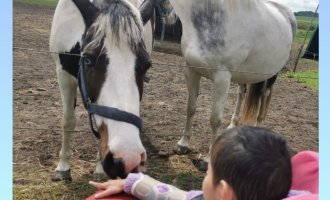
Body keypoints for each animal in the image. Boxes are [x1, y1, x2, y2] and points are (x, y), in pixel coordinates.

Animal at [49, 0, 157, 181]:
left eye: (147, 65)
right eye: (87, 60)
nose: (126, 159)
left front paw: (99, 169)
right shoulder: (63, 74)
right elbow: (68, 121)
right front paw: (63, 166)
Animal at [159, 0, 298, 170]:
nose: (169, 17)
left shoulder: (222, 78)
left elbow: (215, 119)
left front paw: (208, 160)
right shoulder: (191, 70)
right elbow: (190, 108)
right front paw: (183, 144)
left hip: (271, 74)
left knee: (264, 94)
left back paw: (259, 125)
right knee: (241, 93)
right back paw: (233, 125)